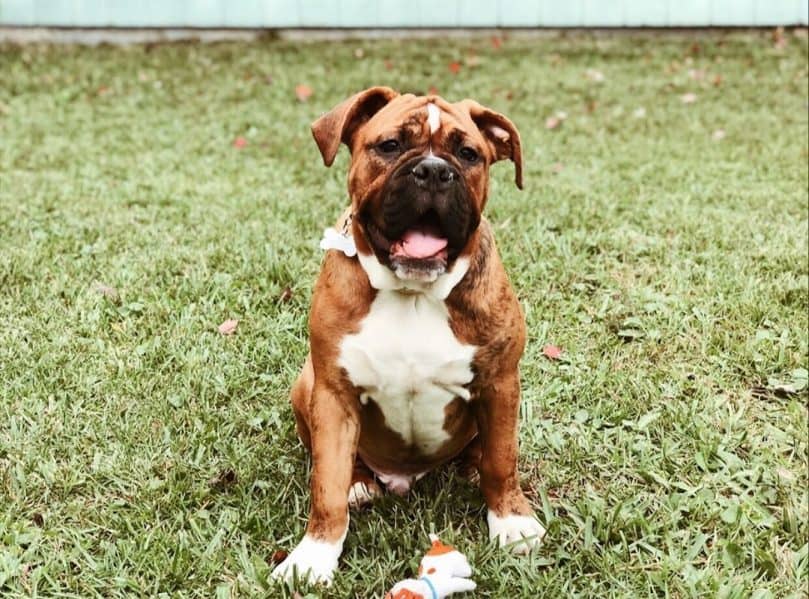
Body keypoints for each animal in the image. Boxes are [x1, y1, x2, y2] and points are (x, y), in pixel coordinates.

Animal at [272, 88, 544, 584]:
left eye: (468, 154)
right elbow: (327, 486)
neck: (413, 292)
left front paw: (511, 522)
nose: (434, 171)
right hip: (306, 384)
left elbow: (502, 459)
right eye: (390, 145)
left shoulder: (500, 382)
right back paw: (361, 483)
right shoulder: (333, 394)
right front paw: (313, 556)